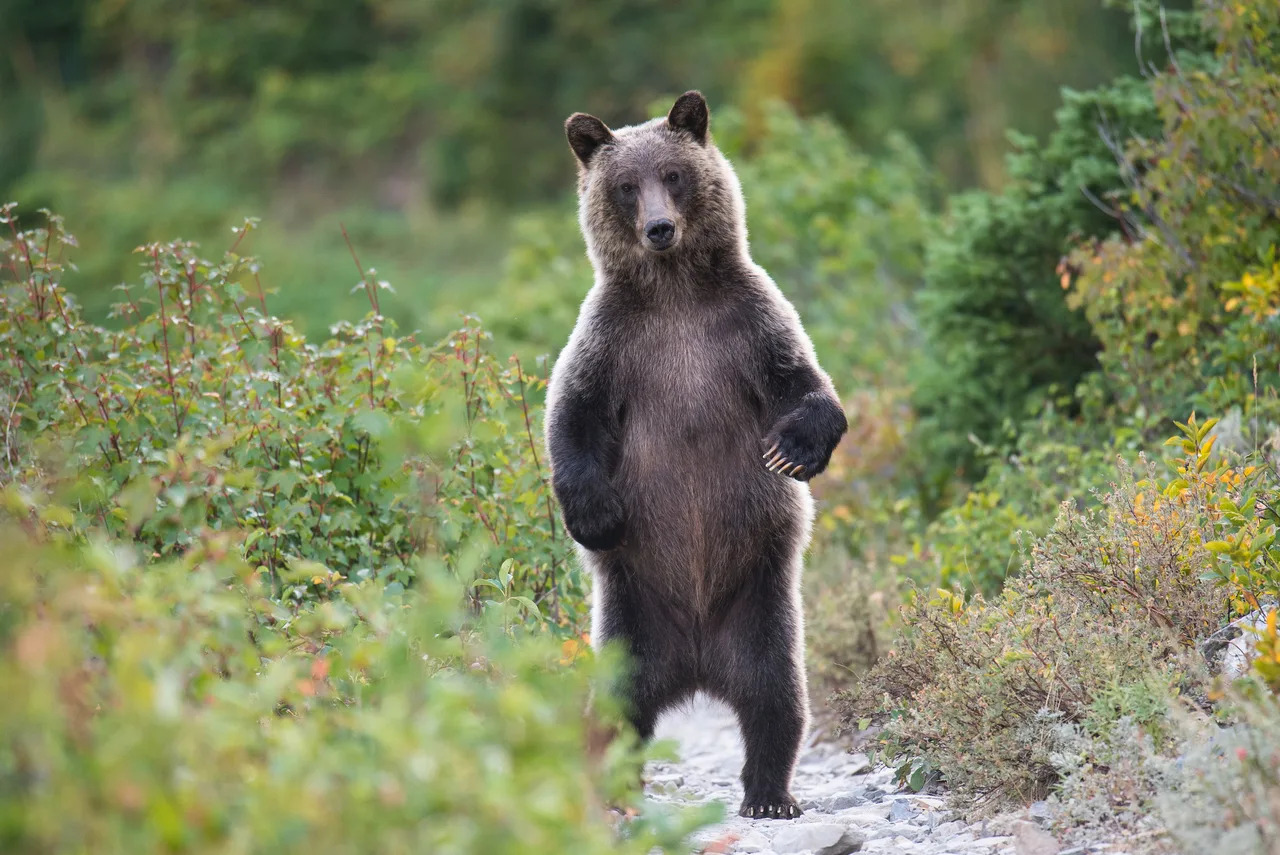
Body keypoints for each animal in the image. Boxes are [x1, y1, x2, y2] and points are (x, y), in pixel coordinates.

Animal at [545, 90, 847, 820]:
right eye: (627, 186)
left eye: (674, 175)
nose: (659, 228)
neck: (674, 292)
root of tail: (699, 663)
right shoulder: (612, 342)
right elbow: (573, 416)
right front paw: (594, 514)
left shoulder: (748, 324)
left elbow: (806, 385)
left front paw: (792, 451)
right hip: (633, 621)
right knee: (619, 708)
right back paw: (618, 788)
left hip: (759, 609)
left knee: (776, 698)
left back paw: (769, 793)